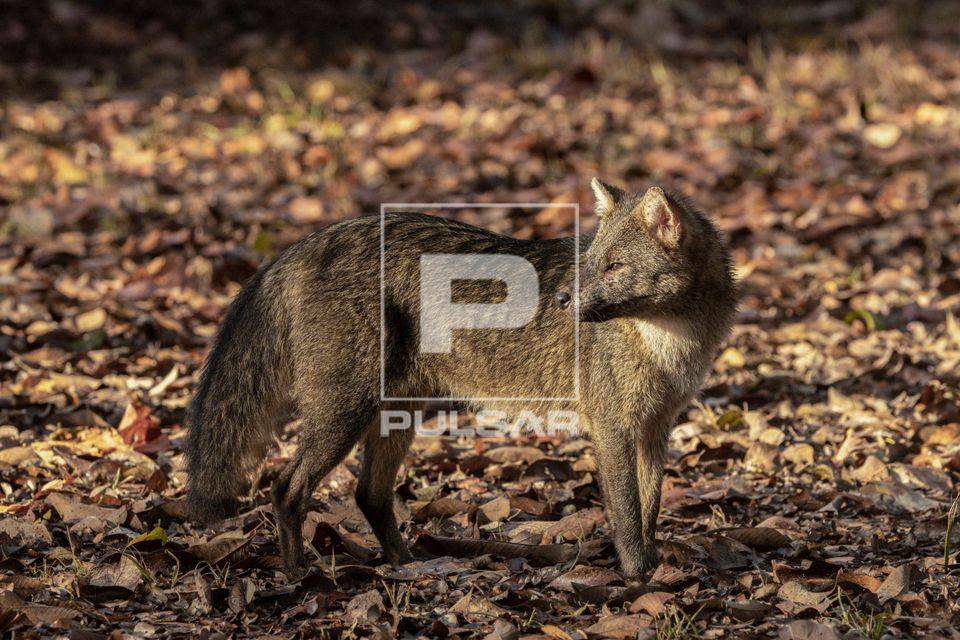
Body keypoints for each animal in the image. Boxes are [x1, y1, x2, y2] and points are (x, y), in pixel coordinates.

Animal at [184, 179, 738, 578]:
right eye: (590, 264)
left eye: (614, 267)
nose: (562, 300)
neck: (669, 340)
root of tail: (302, 244)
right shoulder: (612, 429)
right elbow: (626, 513)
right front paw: (637, 574)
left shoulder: (655, 430)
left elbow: (649, 508)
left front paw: (654, 562)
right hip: (345, 416)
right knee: (286, 488)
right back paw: (298, 573)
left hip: (396, 415)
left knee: (369, 495)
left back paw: (407, 565)